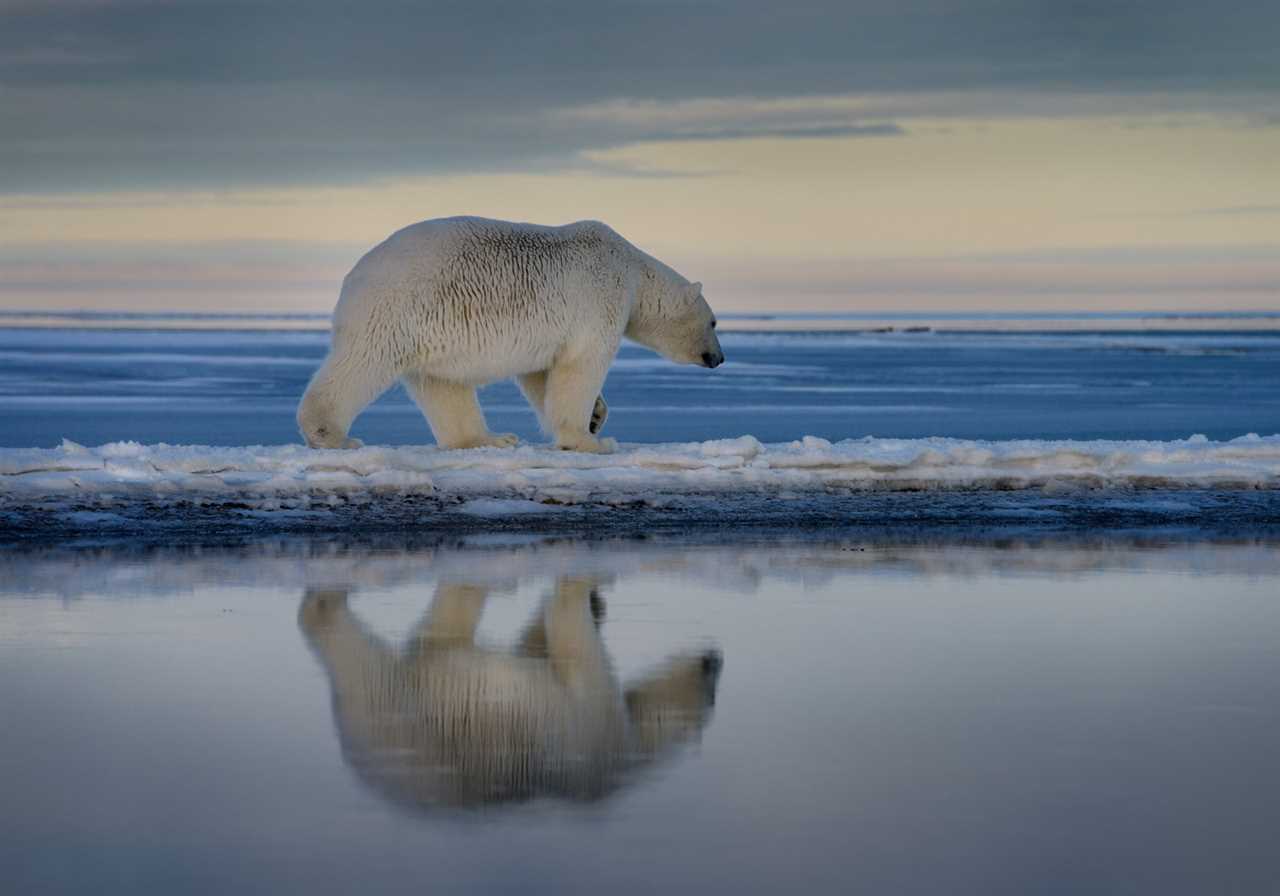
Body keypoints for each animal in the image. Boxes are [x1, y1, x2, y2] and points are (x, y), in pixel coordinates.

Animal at [293, 216, 727, 450]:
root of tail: (354, 275)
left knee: (442, 386)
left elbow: (542, 374)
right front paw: (589, 439)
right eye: (714, 322)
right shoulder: (600, 297)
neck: (633, 269)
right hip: (398, 308)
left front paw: (596, 416)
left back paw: (490, 438)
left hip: (431, 330)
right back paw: (330, 434)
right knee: (362, 363)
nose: (719, 357)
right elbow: (580, 366)